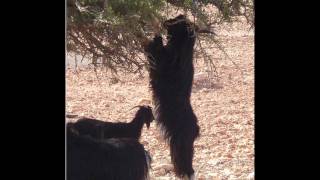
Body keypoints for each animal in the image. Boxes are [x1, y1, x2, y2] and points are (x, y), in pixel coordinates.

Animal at [145, 14, 200, 179]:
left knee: (183, 160)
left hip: (180, 143)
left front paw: (154, 40)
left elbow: (155, 52)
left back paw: (185, 173)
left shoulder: (163, 65)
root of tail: (195, 127)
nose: (165, 21)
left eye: (178, 20)